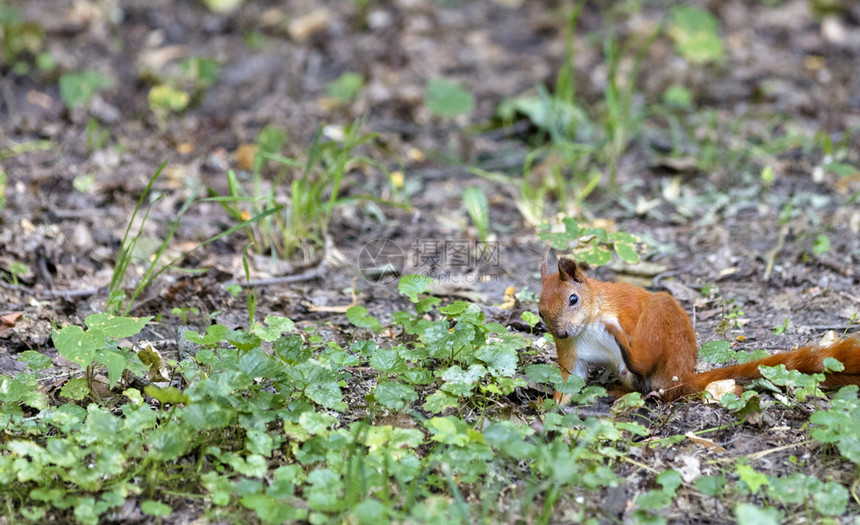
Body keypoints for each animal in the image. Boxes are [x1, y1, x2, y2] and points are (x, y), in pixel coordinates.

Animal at [536, 256, 860, 402]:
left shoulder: (623, 308)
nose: (562, 333)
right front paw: (555, 408)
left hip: (662, 321)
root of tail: (681, 375)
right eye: (540, 311)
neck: (587, 325)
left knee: (644, 358)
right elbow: (569, 381)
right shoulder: (571, 353)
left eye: (573, 299)